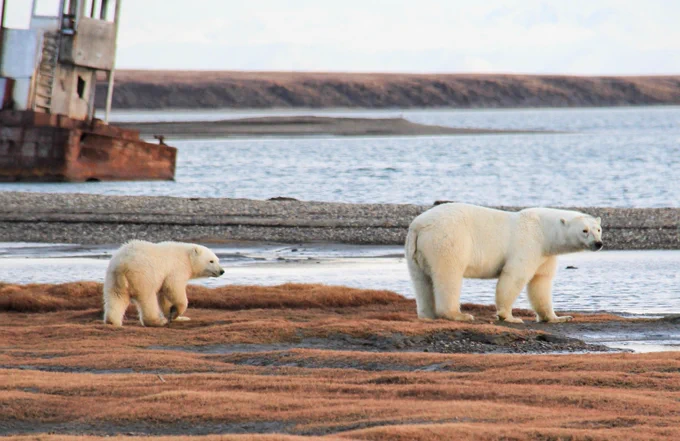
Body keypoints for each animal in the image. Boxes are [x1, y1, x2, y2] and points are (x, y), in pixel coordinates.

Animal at [405, 203, 603, 324]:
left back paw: (427, 314)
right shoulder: (528, 243)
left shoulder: (545, 254)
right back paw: (460, 315)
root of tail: (419, 225)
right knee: (448, 275)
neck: (544, 230)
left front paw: (559, 317)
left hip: (415, 251)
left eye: (599, 229)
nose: (598, 243)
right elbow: (514, 276)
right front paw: (509, 317)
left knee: (420, 280)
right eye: (585, 230)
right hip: (448, 240)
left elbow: (541, 282)